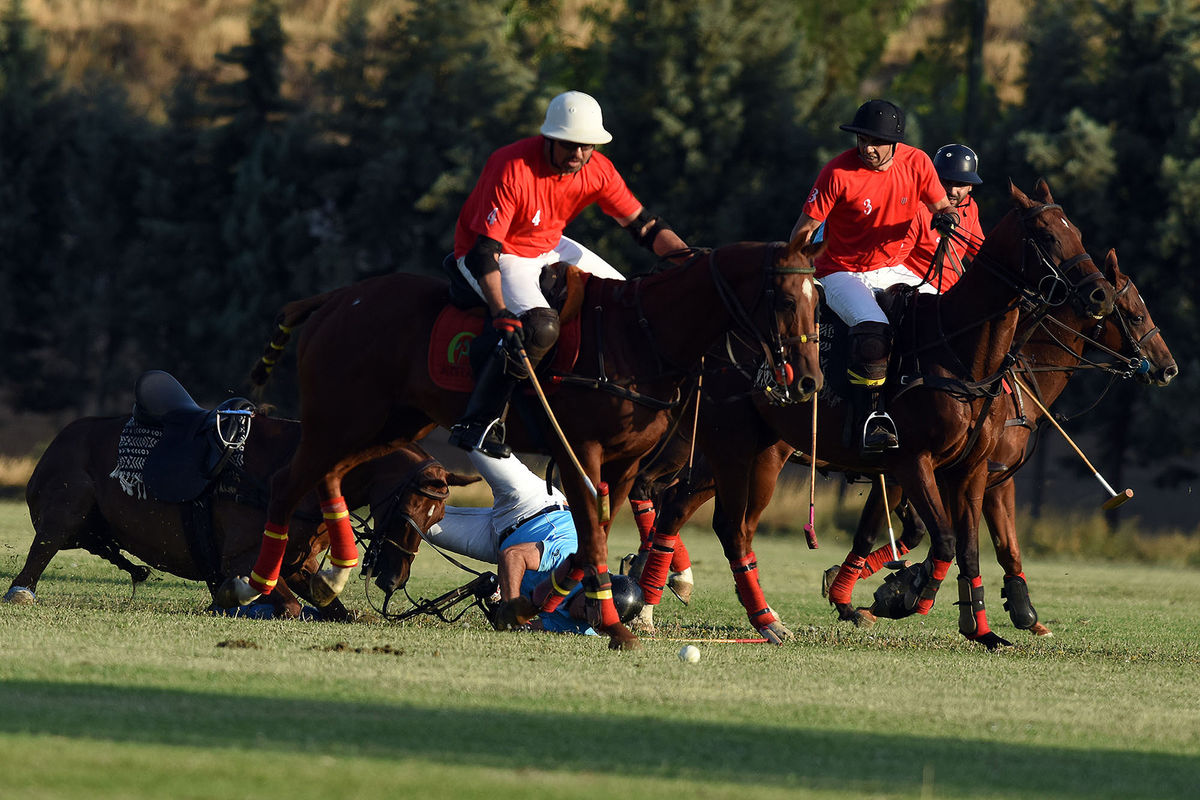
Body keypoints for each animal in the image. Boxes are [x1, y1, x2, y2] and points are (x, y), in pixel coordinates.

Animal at [3, 417, 463, 618]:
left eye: (437, 518)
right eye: (406, 512)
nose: (394, 580)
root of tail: (58, 439)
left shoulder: (301, 563)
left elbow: (336, 607)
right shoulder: (240, 559)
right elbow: (286, 604)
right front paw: (232, 601)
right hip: (67, 506)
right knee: (42, 547)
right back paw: (21, 591)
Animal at [220, 239, 825, 652]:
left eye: (818, 301)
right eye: (784, 298)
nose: (809, 381)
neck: (641, 337)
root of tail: (336, 298)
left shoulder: (625, 464)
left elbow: (593, 538)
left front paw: (530, 604)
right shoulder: (583, 451)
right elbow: (593, 538)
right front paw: (613, 627)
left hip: (391, 423)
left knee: (327, 475)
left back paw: (332, 573)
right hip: (345, 416)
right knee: (288, 482)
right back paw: (252, 587)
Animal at [638, 179, 1113, 642]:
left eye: (1078, 232)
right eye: (1047, 235)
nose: (1100, 293)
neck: (960, 352)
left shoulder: (972, 469)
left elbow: (967, 547)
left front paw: (980, 629)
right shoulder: (911, 462)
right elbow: (941, 539)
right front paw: (904, 596)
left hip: (756, 449)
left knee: (692, 510)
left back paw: (668, 602)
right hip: (732, 443)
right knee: (713, 518)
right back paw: (672, 607)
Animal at [849, 247, 1176, 633]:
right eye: (1137, 315)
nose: (1169, 368)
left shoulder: (985, 475)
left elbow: (1003, 545)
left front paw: (1025, 614)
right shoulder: (975, 469)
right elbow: (957, 537)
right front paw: (896, 592)